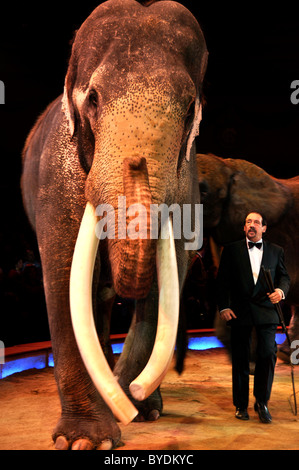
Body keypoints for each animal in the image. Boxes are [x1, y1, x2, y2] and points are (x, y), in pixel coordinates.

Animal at [21, 0, 209, 450]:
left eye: (188, 109)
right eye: (93, 98)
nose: (136, 163)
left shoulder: (185, 177)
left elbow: (170, 273)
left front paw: (135, 403)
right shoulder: (57, 174)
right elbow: (62, 278)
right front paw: (86, 440)